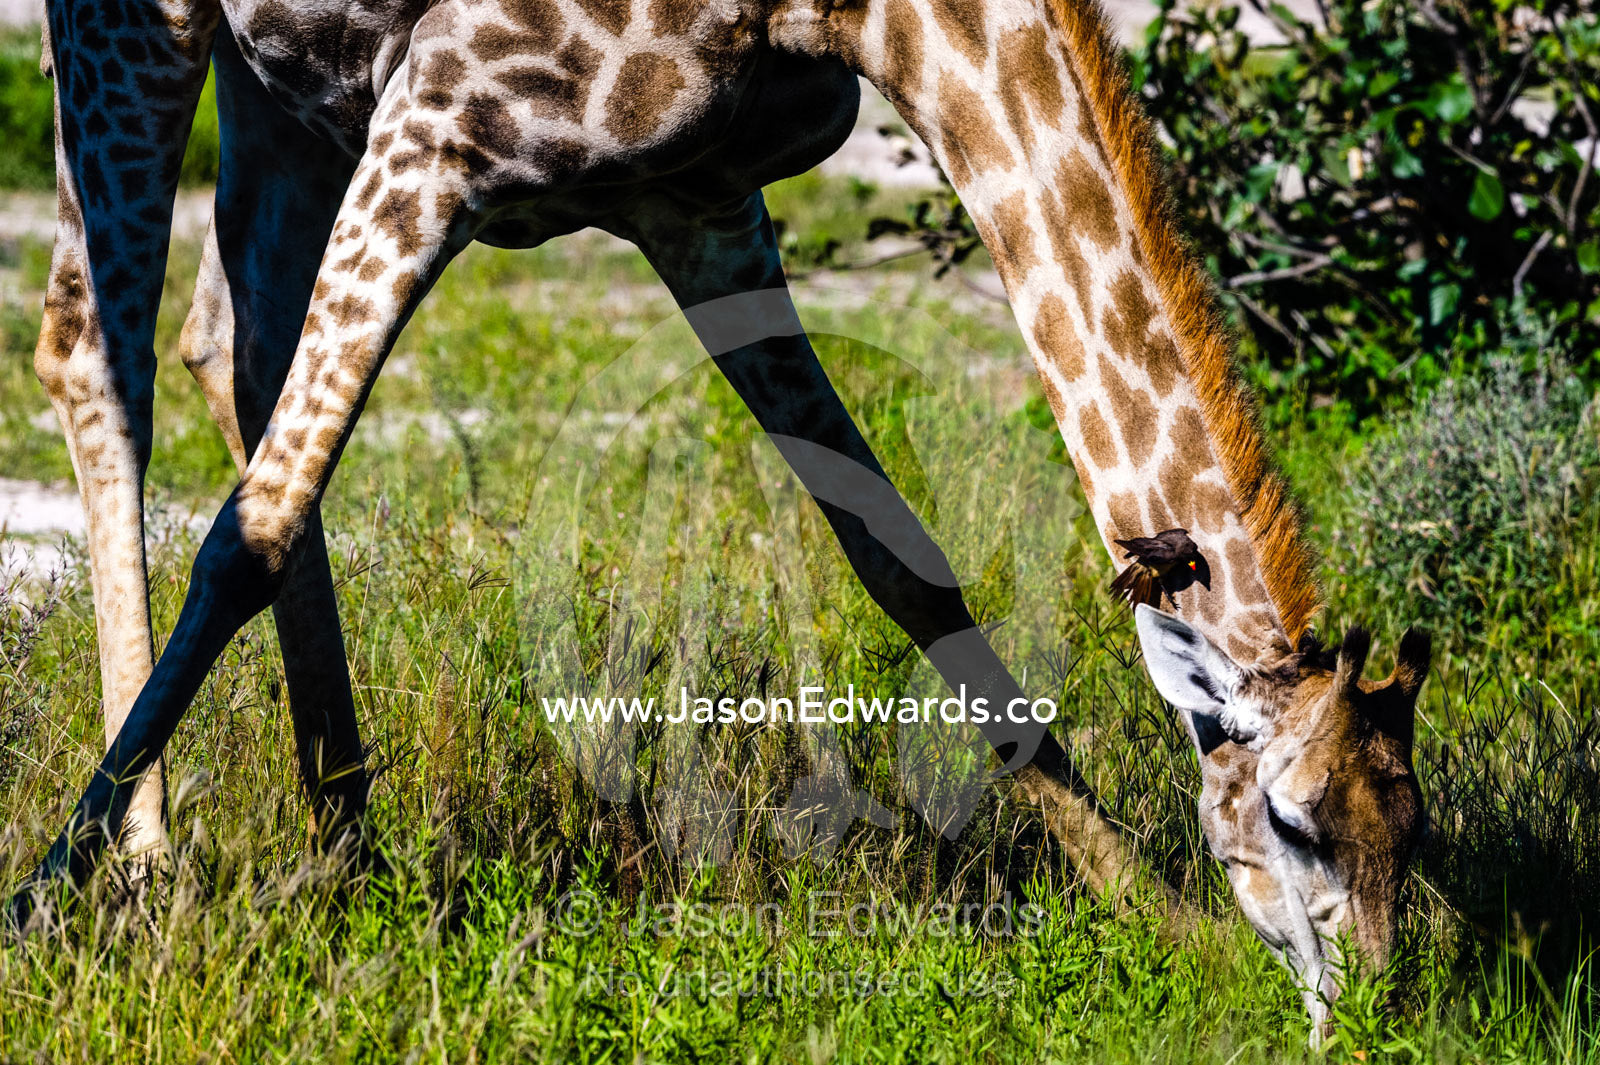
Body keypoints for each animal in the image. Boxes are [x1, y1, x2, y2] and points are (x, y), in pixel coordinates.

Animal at [13, 0, 1431, 1028]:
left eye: (1414, 830)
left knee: (228, 341)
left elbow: (901, 561)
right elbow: (248, 529)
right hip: (143, 26)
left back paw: (346, 832)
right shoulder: (442, 117)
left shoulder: (695, 201)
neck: (855, 16)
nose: (1380, 1007)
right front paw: (46, 890)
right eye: (1297, 822)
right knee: (96, 352)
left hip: (288, 88)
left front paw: (1156, 911)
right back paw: (143, 862)